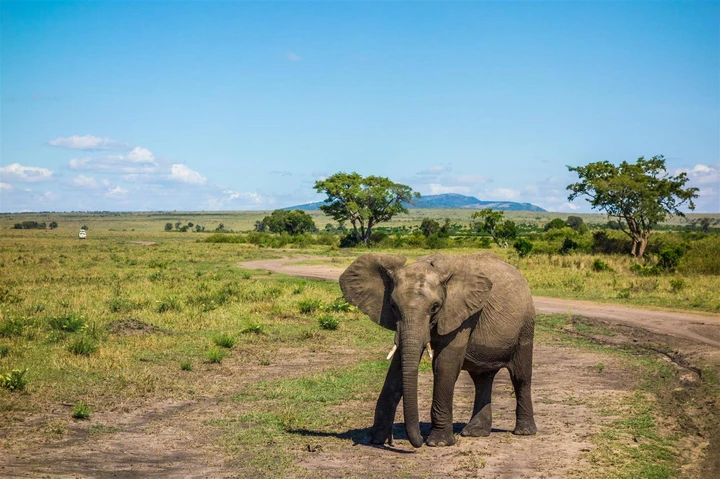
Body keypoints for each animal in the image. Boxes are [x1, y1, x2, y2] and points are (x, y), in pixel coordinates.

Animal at [339, 252, 537, 448]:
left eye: (435, 307)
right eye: (393, 306)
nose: (416, 440)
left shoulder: (462, 314)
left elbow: (445, 364)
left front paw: (438, 443)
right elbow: (397, 367)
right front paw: (376, 439)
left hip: (525, 327)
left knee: (520, 377)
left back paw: (524, 432)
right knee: (482, 379)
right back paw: (475, 432)